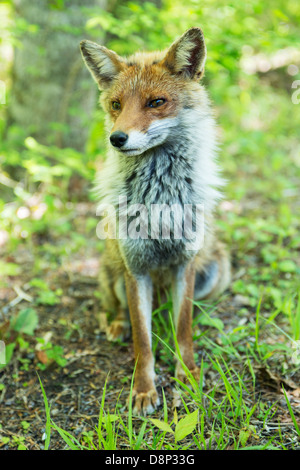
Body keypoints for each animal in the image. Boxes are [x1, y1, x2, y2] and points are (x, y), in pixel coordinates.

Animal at [79, 28, 230, 414]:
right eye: (116, 105)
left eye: (156, 102)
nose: (117, 139)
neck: (160, 195)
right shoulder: (137, 270)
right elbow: (144, 342)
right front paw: (145, 390)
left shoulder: (185, 265)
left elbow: (183, 327)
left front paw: (186, 373)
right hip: (113, 275)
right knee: (121, 311)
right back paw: (118, 326)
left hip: (214, 271)